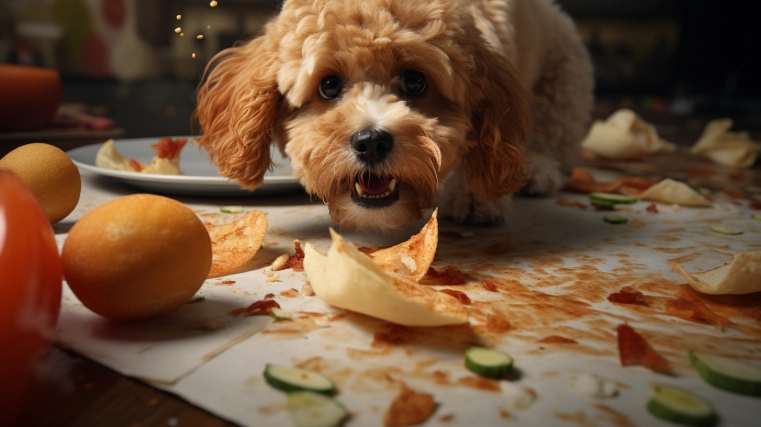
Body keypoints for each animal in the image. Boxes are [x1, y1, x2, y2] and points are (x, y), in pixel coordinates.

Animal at [193, 0, 592, 232]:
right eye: (329, 85)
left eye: (415, 81)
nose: (371, 142)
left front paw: (474, 194)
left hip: (565, 77)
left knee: (555, 136)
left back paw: (538, 168)